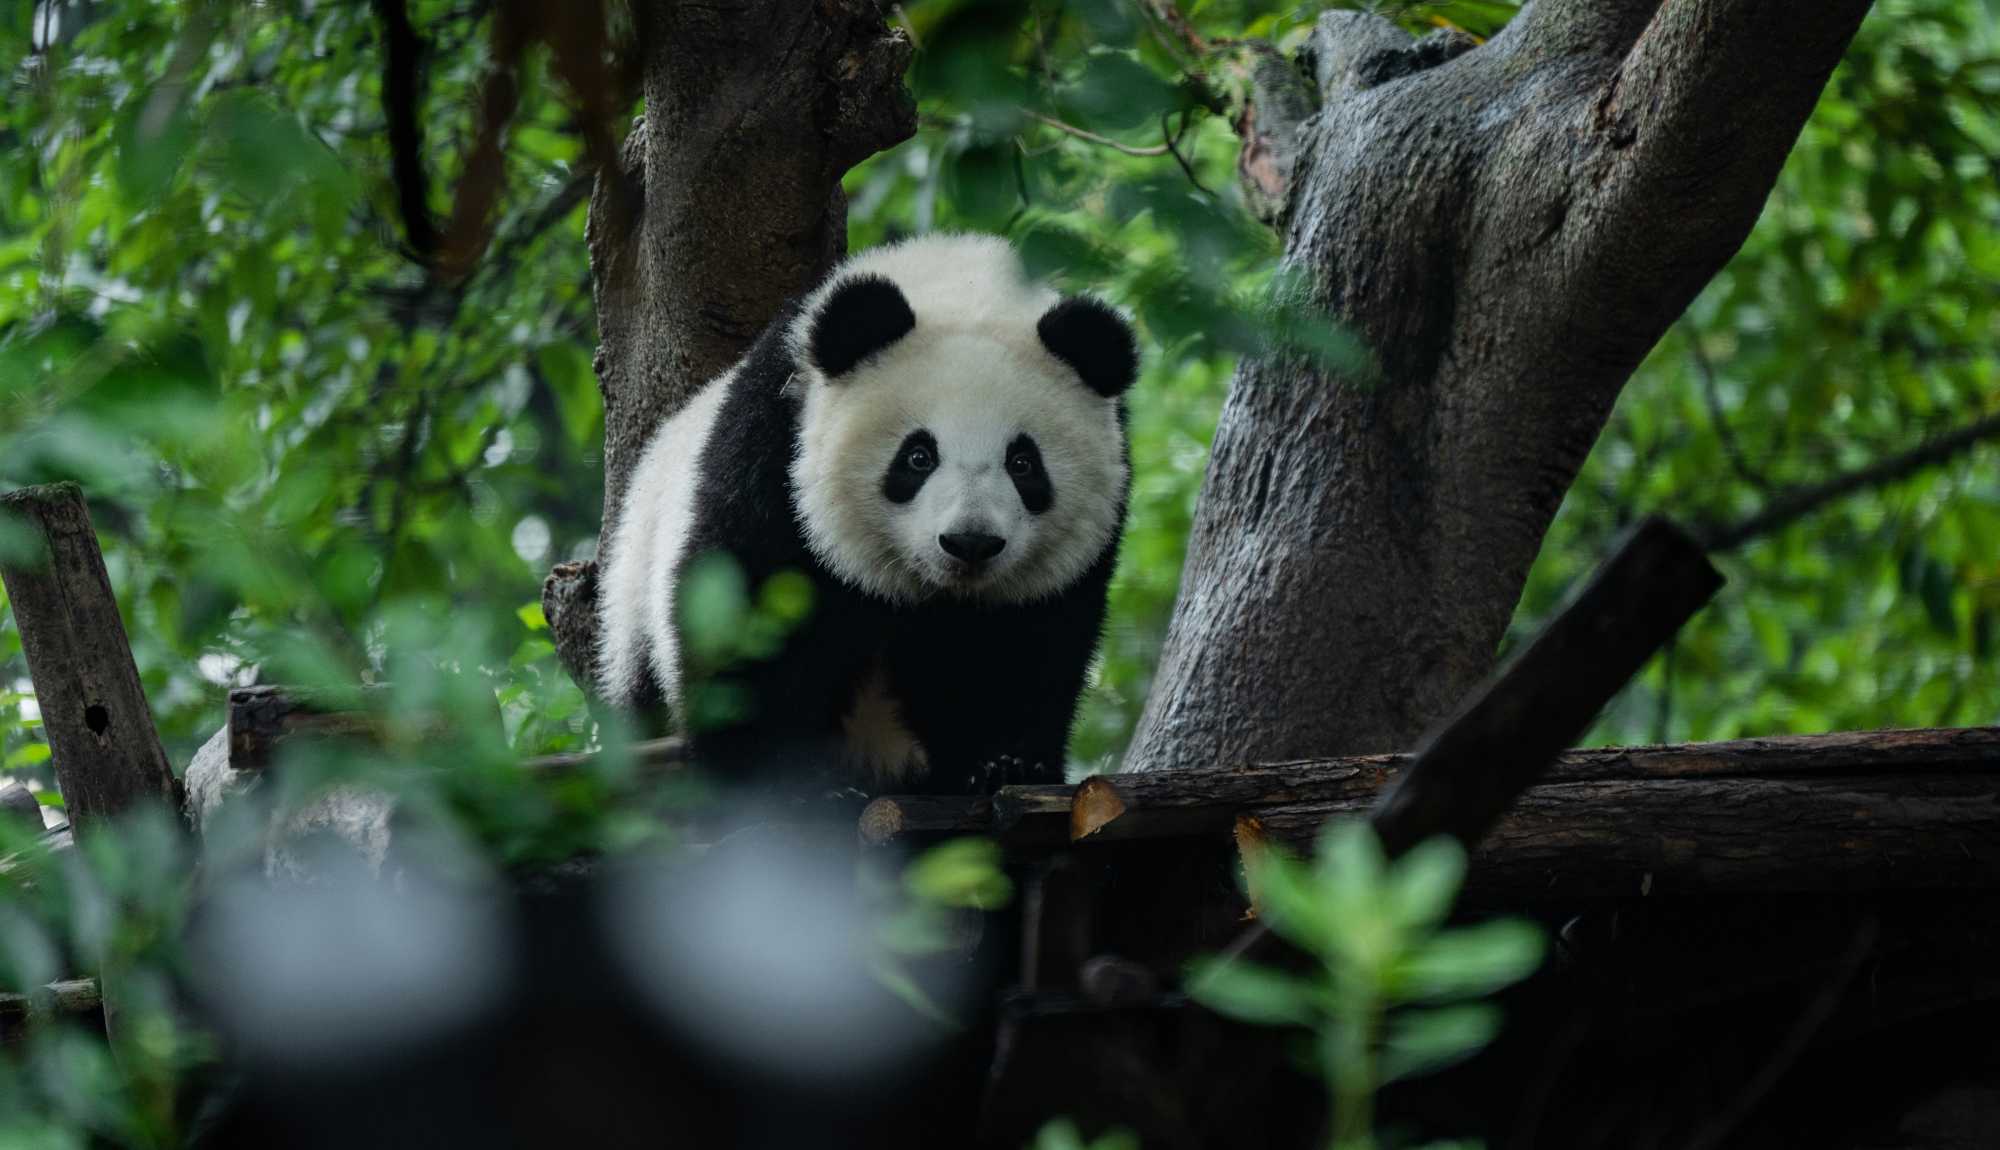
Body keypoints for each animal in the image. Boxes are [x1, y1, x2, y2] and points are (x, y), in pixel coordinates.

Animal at [596, 233, 1138, 795]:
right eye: (918, 457)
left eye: (1023, 463)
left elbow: (1023, 647)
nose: (970, 543)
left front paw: (1005, 764)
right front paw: (777, 779)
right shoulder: (773, 452)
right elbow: (747, 619)